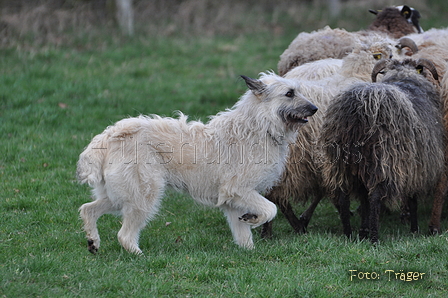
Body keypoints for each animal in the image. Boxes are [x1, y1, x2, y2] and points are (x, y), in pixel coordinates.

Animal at [77, 73, 316, 254]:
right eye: (289, 93)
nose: (314, 109)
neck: (260, 125)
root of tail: (108, 136)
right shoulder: (239, 190)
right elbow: (270, 209)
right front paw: (254, 219)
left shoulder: (232, 200)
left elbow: (244, 234)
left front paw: (249, 252)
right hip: (143, 196)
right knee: (124, 235)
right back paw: (138, 255)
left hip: (118, 195)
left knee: (87, 209)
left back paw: (93, 241)